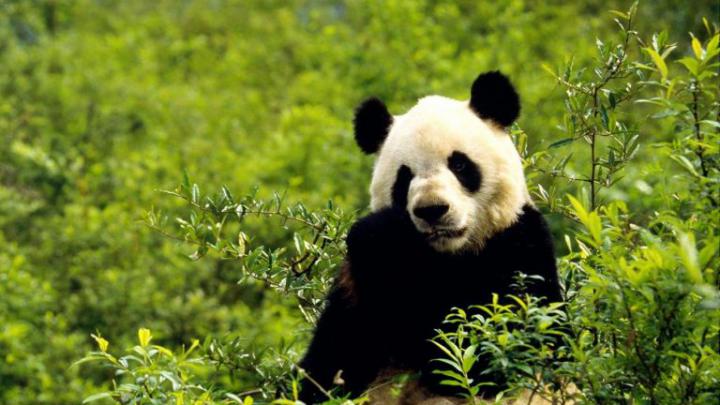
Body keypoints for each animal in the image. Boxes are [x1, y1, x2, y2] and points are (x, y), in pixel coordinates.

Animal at [298, 71, 562, 404]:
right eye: (404, 176)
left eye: (459, 164)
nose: (432, 210)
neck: (444, 256)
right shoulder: (356, 296)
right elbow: (333, 362)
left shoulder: (519, 246)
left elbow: (487, 350)